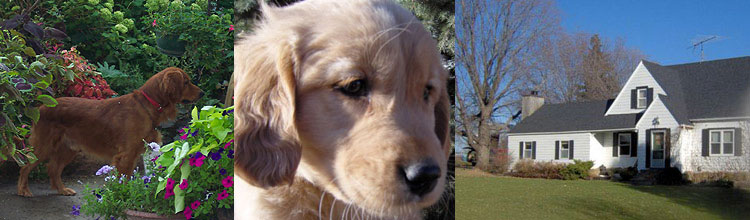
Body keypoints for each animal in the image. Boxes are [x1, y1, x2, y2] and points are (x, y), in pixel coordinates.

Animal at [17, 67, 204, 198]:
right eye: (186, 82)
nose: (202, 93)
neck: (146, 107)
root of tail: (41, 107)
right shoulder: (126, 156)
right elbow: (124, 179)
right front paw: (123, 196)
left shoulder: (134, 154)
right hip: (44, 146)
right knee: (26, 166)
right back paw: (23, 190)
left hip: (68, 149)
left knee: (53, 169)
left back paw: (62, 190)